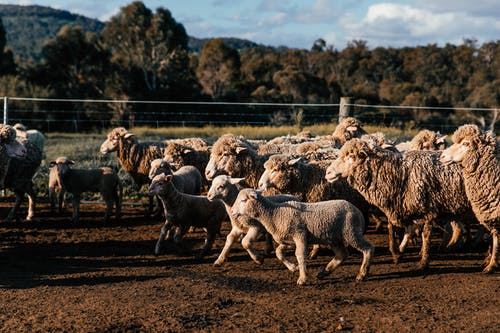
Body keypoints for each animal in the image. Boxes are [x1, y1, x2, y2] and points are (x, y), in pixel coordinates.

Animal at [229, 188, 374, 284]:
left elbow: (300, 255)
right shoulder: (287, 239)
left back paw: (362, 274)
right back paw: (324, 272)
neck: (274, 214)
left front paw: (302, 278)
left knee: (368, 249)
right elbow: (279, 253)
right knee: (342, 254)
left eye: (243, 200)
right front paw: (293, 267)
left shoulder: (300, 235)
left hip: (351, 232)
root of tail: (357, 210)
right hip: (334, 238)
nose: (232, 211)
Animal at [326, 139, 474, 268]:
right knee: (460, 227)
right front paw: (397, 253)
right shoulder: (401, 206)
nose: (328, 172)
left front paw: (423, 262)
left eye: (351, 156)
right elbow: (397, 228)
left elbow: (424, 235)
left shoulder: (427, 209)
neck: (399, 172)